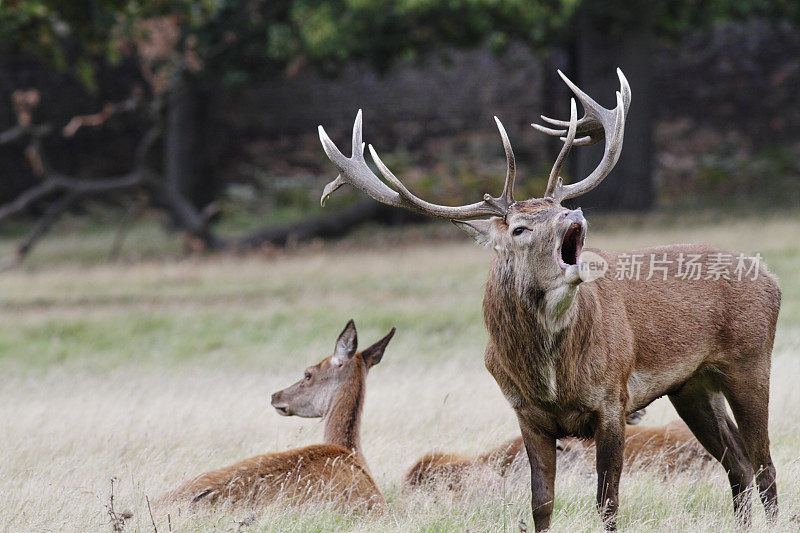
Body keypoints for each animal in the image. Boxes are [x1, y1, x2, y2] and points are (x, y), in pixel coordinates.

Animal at [318, 69, 780, 528]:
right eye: (519, 228)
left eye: (561, 206)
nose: (573, 214)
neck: (554, 377)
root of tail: (772, 279)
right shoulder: (527, 415)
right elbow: (541, 503)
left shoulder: (612, 400)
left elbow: (608, 502)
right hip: (693, 386)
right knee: (738, 465)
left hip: (751, 360)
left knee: (764, 465)